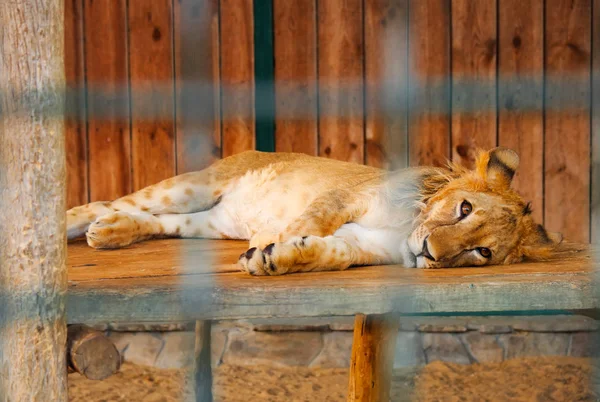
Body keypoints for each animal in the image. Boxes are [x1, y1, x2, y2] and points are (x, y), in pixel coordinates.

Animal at [67, 148, 564, 276]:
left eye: (482, 252)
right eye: (463, 208)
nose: (428, 251)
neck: (406, 228)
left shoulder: (362, 245)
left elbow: (331, 253)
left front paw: (276, 258)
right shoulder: (347, 197)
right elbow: (311, 220)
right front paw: (273, 242)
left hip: (211, 222)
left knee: (157, 222)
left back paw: (111, 232)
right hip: (192, 186)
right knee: (102, 202)